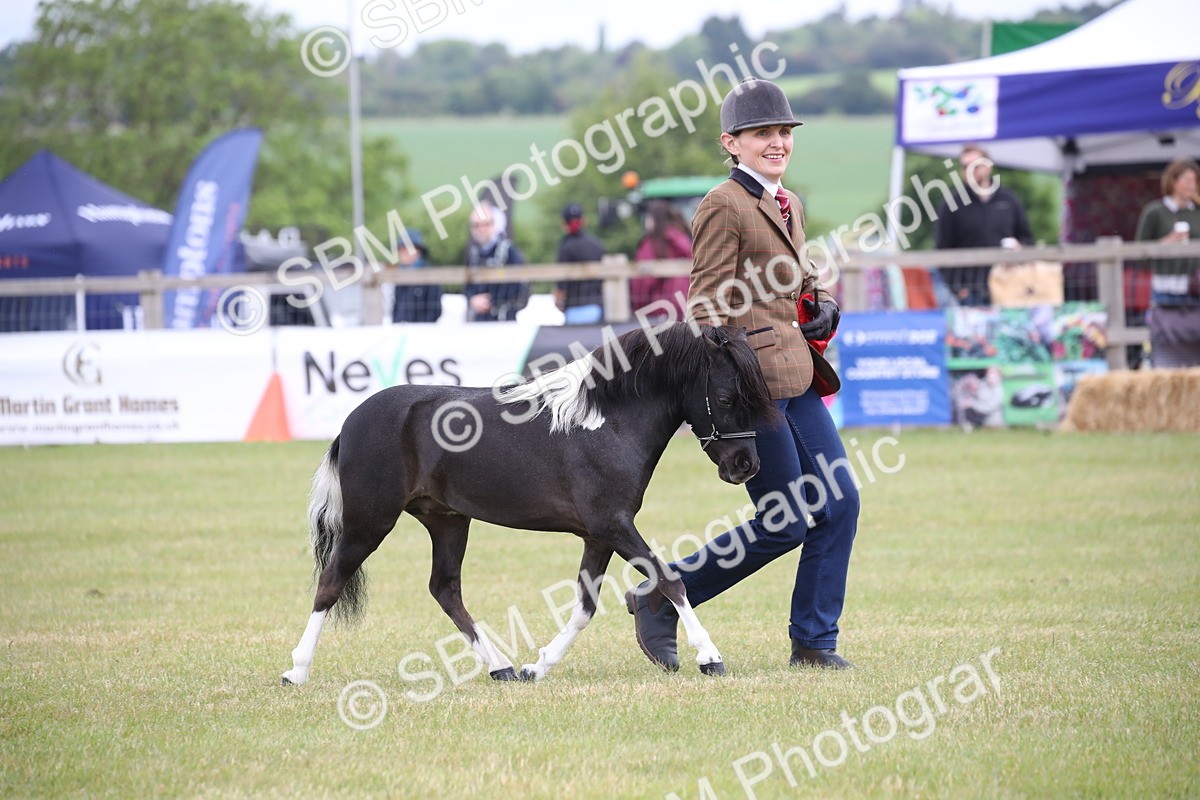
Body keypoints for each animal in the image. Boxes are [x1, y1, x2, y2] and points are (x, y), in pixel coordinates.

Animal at [281, 322, 780, 687]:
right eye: (727, 397)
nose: (745, 466)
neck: (606, 420)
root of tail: (352, 421)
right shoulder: (613, 524)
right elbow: (669, 579)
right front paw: (710, 656)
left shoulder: (599, 535)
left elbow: (584, 607)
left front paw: (536, 666)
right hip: (369, 521)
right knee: (330, 583)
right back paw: (297, 670)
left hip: (446, 521)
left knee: (445, 589)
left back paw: (501, 666)